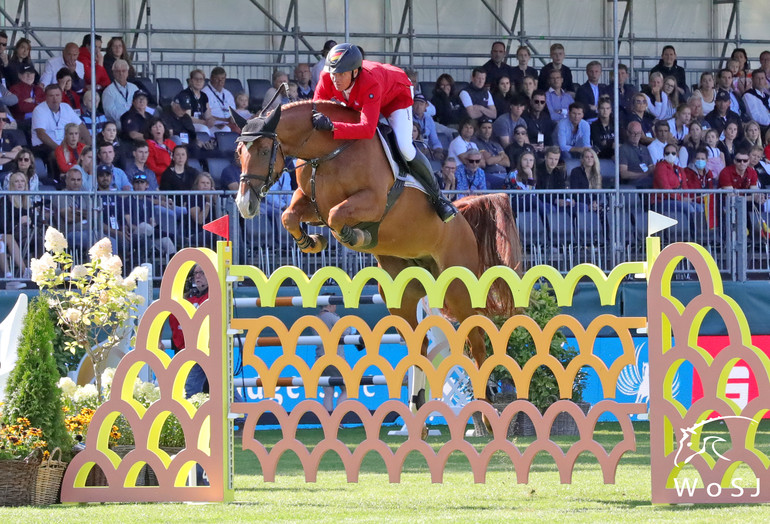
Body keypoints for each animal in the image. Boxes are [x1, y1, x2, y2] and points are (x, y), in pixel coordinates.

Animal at [232, 100, 520, 416]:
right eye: (238, 152)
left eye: (262, 150)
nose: (245, 205)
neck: (326, 153)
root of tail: (463, 216)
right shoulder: (311, 203)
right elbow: (289, 216)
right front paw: (312, 242)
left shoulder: (370, 201)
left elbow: (337, 216)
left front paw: (356, 236)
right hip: (401, 293)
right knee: (420, 344)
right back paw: (416, 405)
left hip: (455, 289)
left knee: (476, 340)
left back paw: (485, 404)